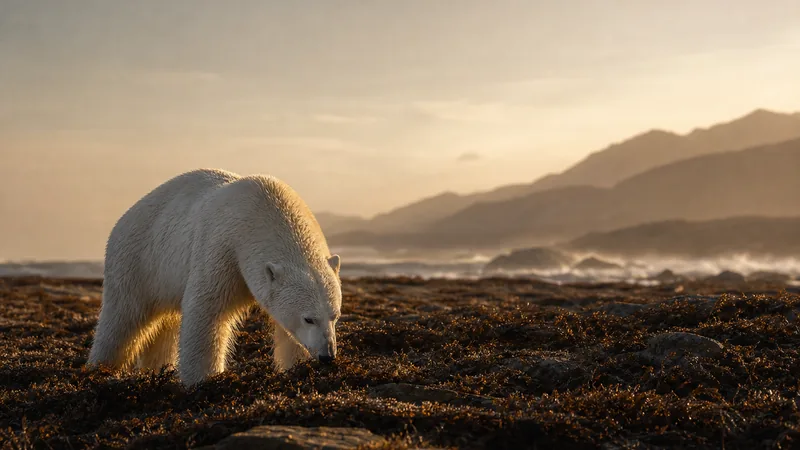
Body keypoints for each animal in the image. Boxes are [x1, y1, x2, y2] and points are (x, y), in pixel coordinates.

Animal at [86, 168, 342, 386]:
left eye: (335, 315)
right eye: (309, 318)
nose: (327, 355)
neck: (266, 206)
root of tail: (121, 221)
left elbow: (286, 330)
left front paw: (298, 366)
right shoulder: (223, 249)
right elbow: (207, 309)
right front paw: (203, 380)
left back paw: (157, 368)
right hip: (138, 262)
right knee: (122, 319)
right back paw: (99, 369)